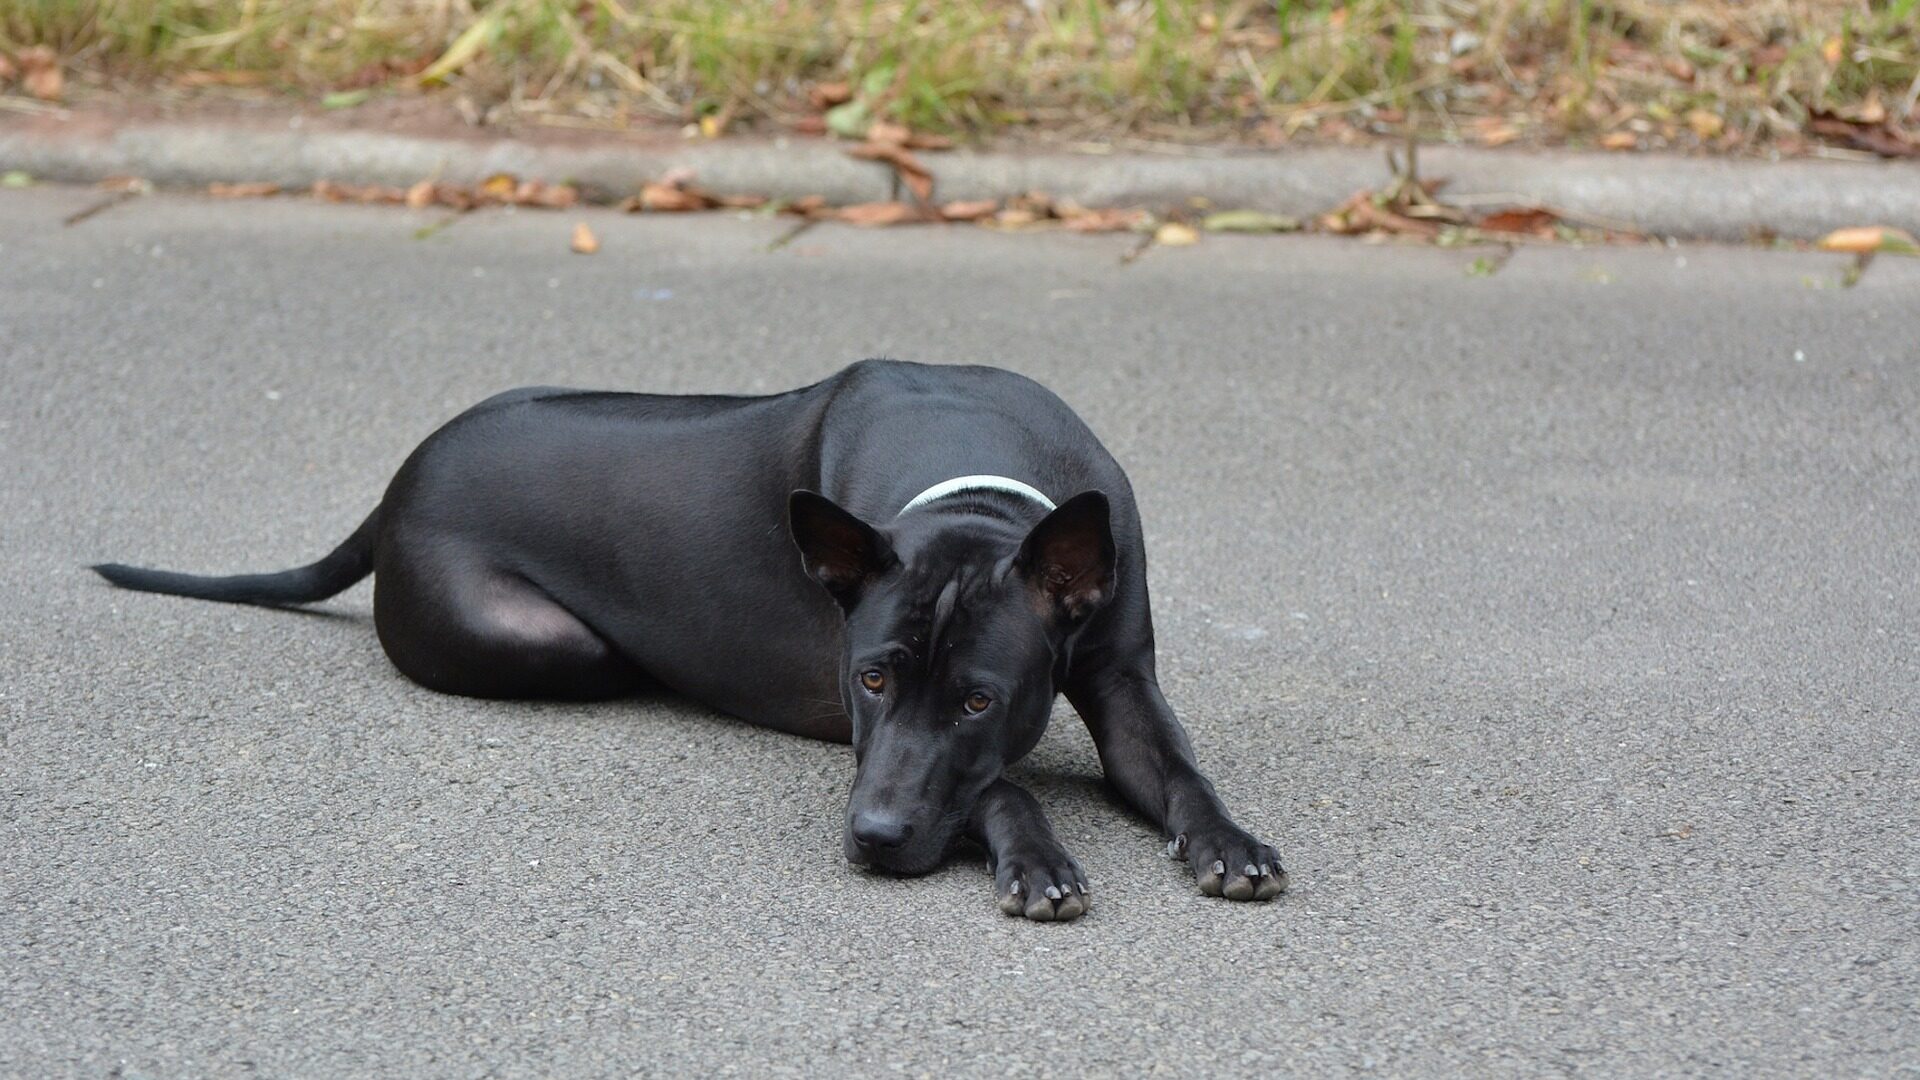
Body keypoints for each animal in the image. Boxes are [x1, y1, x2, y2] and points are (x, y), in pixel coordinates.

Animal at [93, 359, 1290, 914]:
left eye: (979, 698)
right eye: (868, 682)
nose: (873, 837)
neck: (979, 493)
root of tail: (395, 485)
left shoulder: (1123, 681)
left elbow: (1177, 769)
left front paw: (1228, 841)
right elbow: (998, 785)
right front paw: (1036, 855)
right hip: (553, 645)